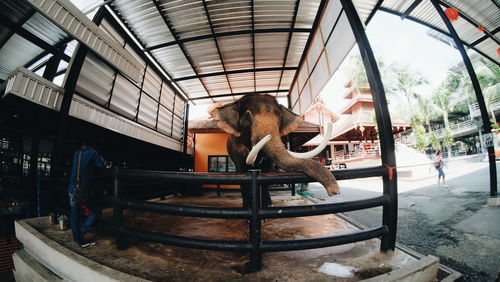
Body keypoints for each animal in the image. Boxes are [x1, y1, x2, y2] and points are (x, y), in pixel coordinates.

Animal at [209, 94, 342, 207]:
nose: (334, 192)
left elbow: (266, 172)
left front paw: (267, 206)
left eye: (280, 117)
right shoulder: (236, 149)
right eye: (247, 116)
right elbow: (242, 173)